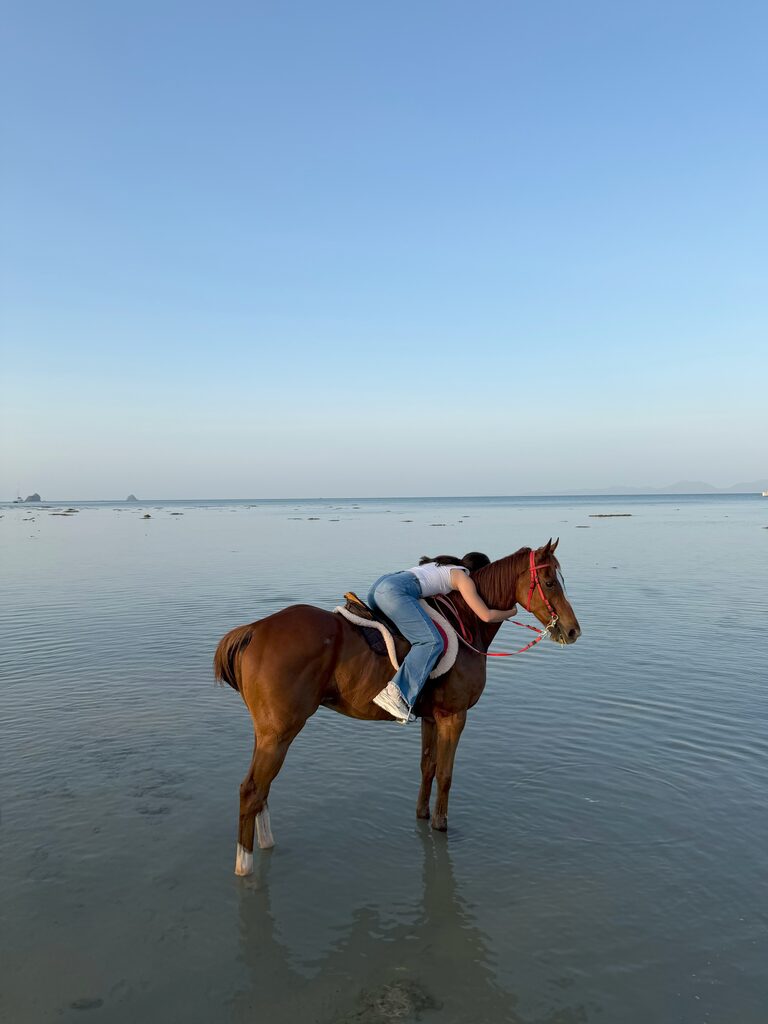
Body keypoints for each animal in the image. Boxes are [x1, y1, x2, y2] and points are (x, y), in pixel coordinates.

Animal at [214, 539, 581, 876]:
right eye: (550, 582)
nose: (572, 629)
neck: (467, 620)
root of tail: (253, 630)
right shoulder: (454, 717)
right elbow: (446, 775)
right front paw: (441, 824)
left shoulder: (432, 718)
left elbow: (428, 768)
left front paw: (422, 816)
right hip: (281, 731)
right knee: (252, 790)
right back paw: (244, 864)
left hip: (268, 732)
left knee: (261, 789)